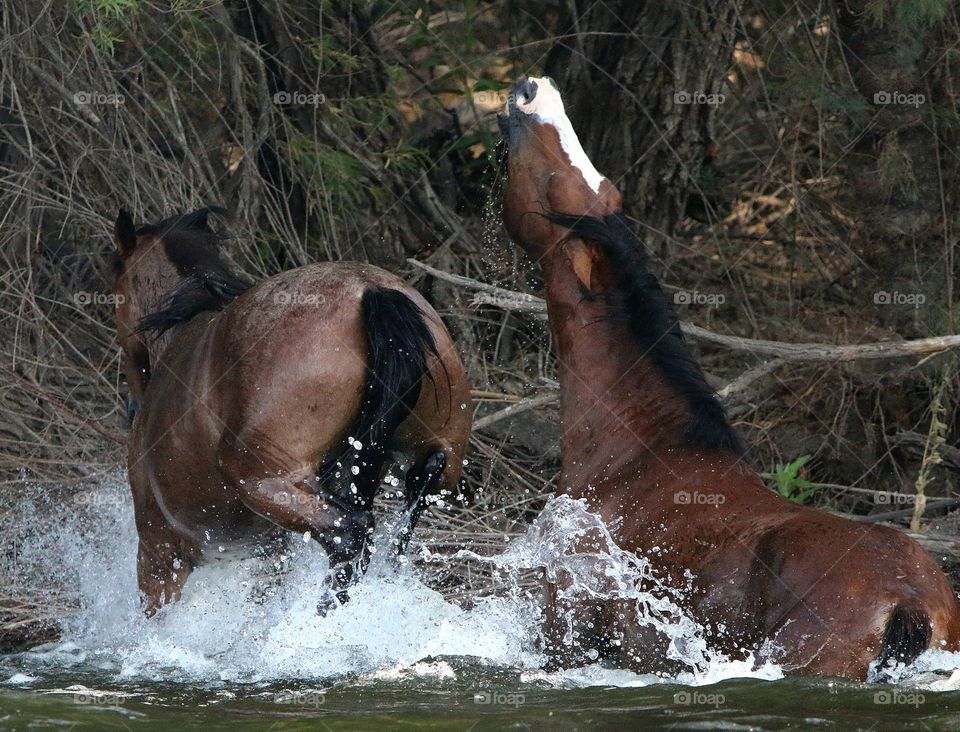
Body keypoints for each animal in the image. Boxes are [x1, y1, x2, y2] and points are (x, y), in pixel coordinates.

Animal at [111, 208, 472, 614]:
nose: (130, 408)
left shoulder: (159, 553)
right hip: (432, 457)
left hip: (260, 478)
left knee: (349, 534)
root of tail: (371, 292)